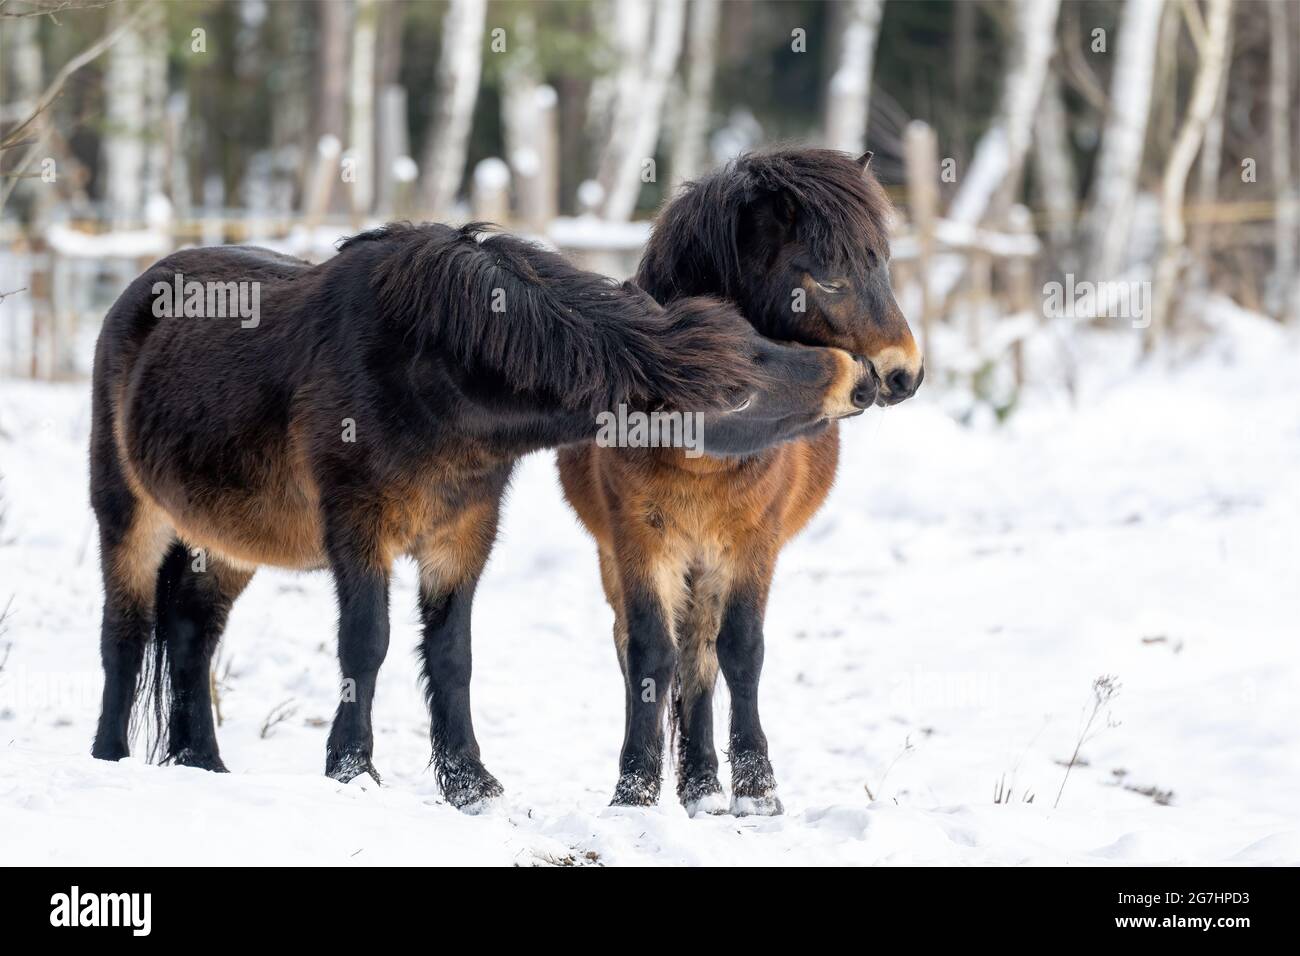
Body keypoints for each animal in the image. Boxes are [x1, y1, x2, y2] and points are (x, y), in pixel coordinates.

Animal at [86, 218, 868, 806]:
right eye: (737, 388)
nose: (855, 379)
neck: (427, 369)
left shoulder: (462, 534)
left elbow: (452, 655)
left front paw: (468, 782)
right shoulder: (357, 529)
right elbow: (365, 645)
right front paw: (352, 770)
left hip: (223, 544)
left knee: (191, 635)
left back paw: (201, 763)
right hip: (128, 516)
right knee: (125, 636)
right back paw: (109, 758)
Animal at [559, 149, 925, 816]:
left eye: (882, 264)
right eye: (827, 279)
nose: (902, 374)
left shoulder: (754, 544)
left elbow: (740, 651)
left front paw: (757, 791)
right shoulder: (638, 541)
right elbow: (650, 654)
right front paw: (634, 788)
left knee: (702, 655)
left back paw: (704, 785)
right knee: (646, 651)